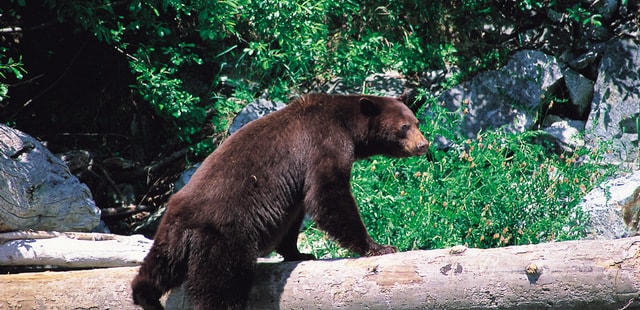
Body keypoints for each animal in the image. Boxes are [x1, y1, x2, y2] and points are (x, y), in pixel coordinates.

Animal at [132, 93, 428, 308]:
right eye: (404, 126)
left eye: (416, 122)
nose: (423, 145)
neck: (346, 123)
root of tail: (185, 223)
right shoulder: (324, 142)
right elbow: (328, 195)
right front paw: (378, 246)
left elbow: (295, 217)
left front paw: (299, 252)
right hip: (224, 240)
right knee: (222, 285)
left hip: (169, 235)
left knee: (157, 268)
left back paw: (146, 297)